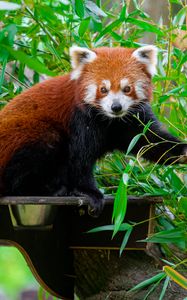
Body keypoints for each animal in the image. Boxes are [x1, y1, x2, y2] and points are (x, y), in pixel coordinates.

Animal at [0, 45, 186, 216]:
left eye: (127, 88)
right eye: (103, 89)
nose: (116, 107)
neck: (110, 119)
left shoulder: (133, 120)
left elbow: (150, 141)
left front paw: (182, 151)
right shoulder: (81, 119)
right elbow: (80, 158)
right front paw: (89, 192)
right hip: (27, 135)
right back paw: (48, 190)